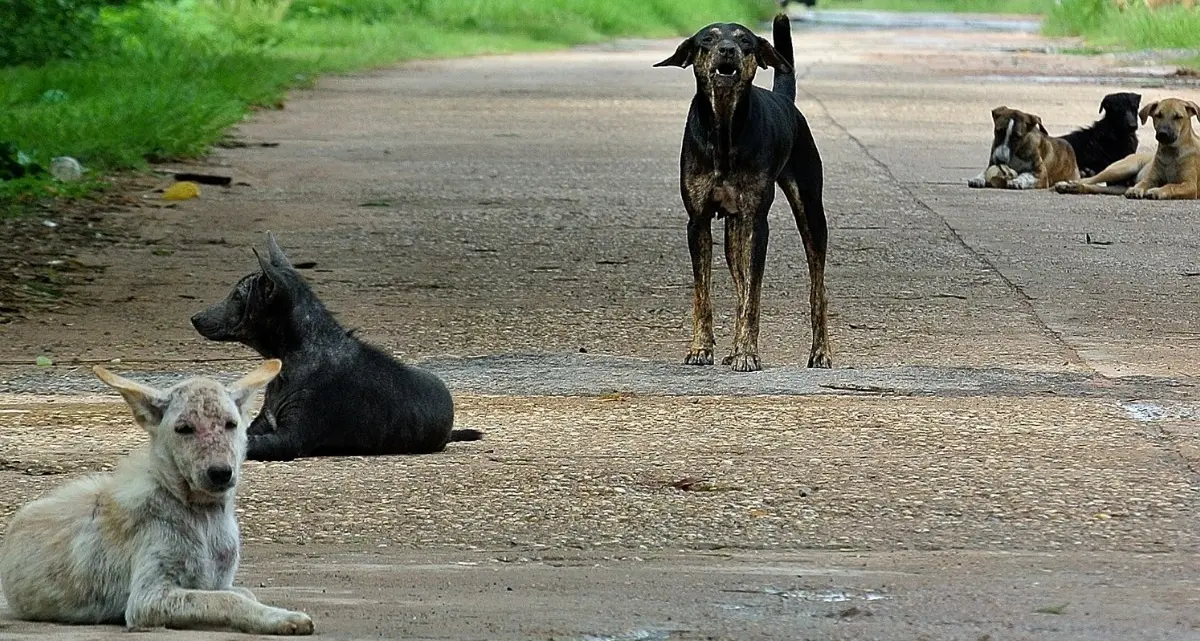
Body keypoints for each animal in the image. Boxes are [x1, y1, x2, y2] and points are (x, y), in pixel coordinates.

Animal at [0, 362, 314, 638]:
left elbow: (242, 593)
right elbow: (228, 600)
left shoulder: (219, 582)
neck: (202, 516)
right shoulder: (147, 600)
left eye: (230, 424)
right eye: (184, 428)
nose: (220, 473)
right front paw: (281, 618)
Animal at [192, 231, 482, 463]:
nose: (194, 317)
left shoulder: (290, 438)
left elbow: (249, 444)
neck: (295, 357)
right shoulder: (262, 423)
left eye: (237, 297)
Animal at [657, 15, 825, 372]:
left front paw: (748, 353)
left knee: (817, 287)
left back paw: (820, 352)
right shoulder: (698, 221)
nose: (727, 49)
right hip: (733, 234)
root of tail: (786, 101)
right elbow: (703, 293)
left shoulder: (756, 222)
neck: (724, 129)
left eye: (745, 40)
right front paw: (701, 348)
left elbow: (753, 295)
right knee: (738, 280)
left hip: (810, 210)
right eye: (707, 39)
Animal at [1056, 96, 1195, 198]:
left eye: (1134, 109)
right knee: (1089, 180)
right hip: (1118, 169)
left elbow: (1170, 186)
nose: (1133, 125)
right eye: (1118, 110)